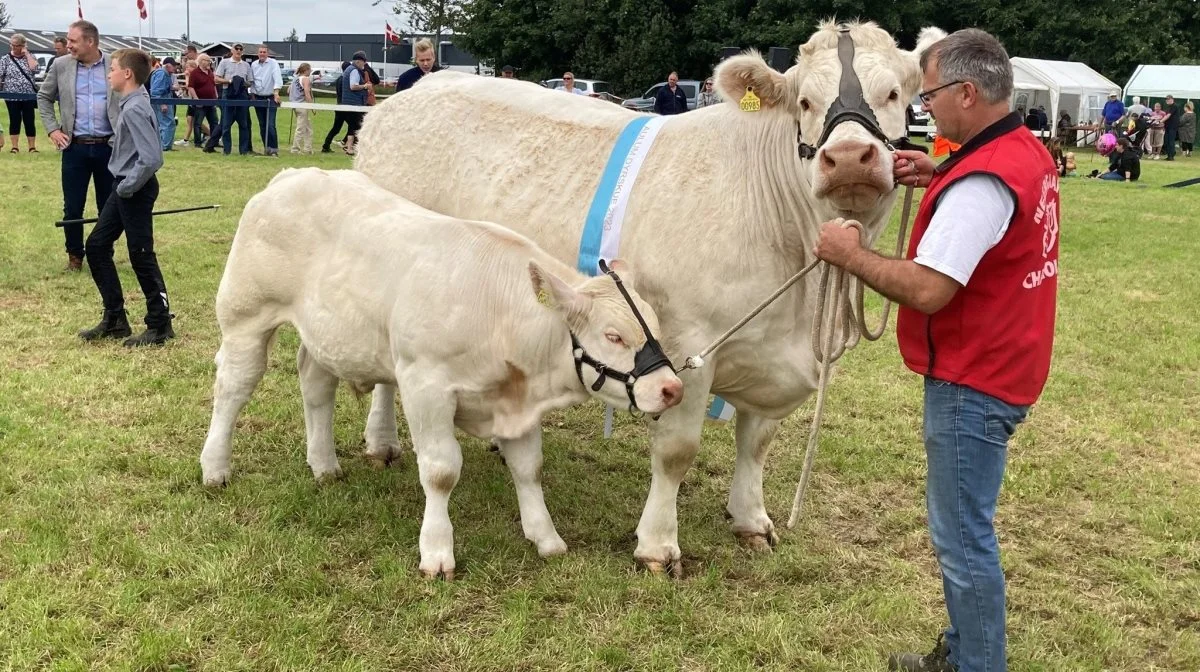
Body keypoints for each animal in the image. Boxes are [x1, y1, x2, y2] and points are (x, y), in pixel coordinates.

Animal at [199, 166, 686, 578]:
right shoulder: (425, 385)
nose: (672, 388)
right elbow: (440, 471)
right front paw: (437, 552)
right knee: (233, 388)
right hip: (245, 316)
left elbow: (529, 468)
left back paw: (324, 466)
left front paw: (545, 537)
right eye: (614, 336)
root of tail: (293, 175)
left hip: (329, 334)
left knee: (316, 385)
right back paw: (215, 468)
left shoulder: (517, 402)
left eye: (655, 326)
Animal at [352, 23, 945, 576]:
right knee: (385, 373)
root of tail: (413, 93)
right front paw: (658, 546)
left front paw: (752, 521)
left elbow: (757, 443)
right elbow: (677, 451)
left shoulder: (776, 355)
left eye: (895, 93)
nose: (848, 158)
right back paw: (381, 444)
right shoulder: (687, 343)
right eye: (804, 102)